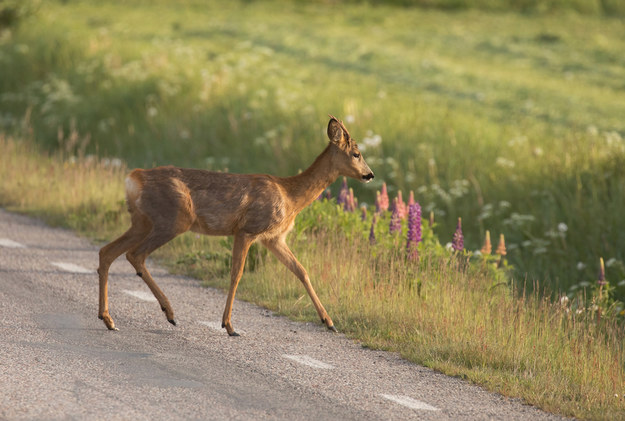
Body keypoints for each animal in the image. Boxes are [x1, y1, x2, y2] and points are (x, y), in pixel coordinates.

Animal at [95, 115, 372, 334]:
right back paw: (170, 314)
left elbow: (301, 270)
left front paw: (329, 321)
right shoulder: (248, 229)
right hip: (173, 219)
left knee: (107, 251)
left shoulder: (273, 238)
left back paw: (108, 319)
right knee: (135, 254)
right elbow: (236, 274)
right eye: (356, 154)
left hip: (142, 221)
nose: (370, 174)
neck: (290, 196)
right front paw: (229, 326)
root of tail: (134, 178)